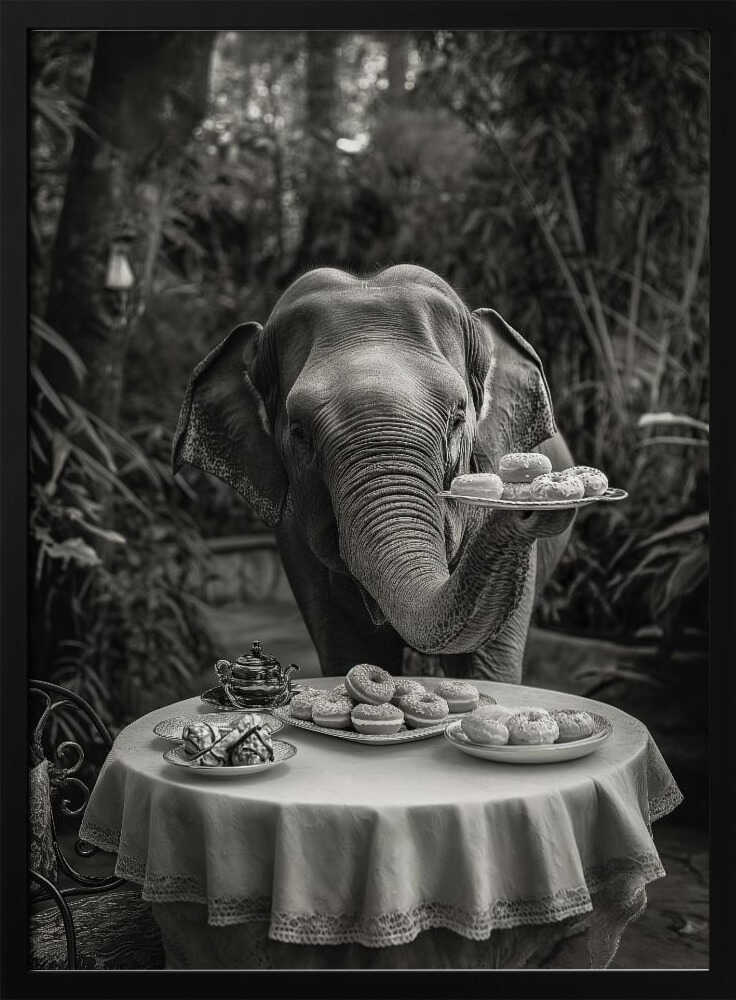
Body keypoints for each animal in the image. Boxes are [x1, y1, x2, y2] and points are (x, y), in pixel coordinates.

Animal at [173, 265, 575, 682]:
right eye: (299, 432)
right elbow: (350, 650)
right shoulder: (298, 550)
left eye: (457, 417)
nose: (527, 508)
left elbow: (484, 666)